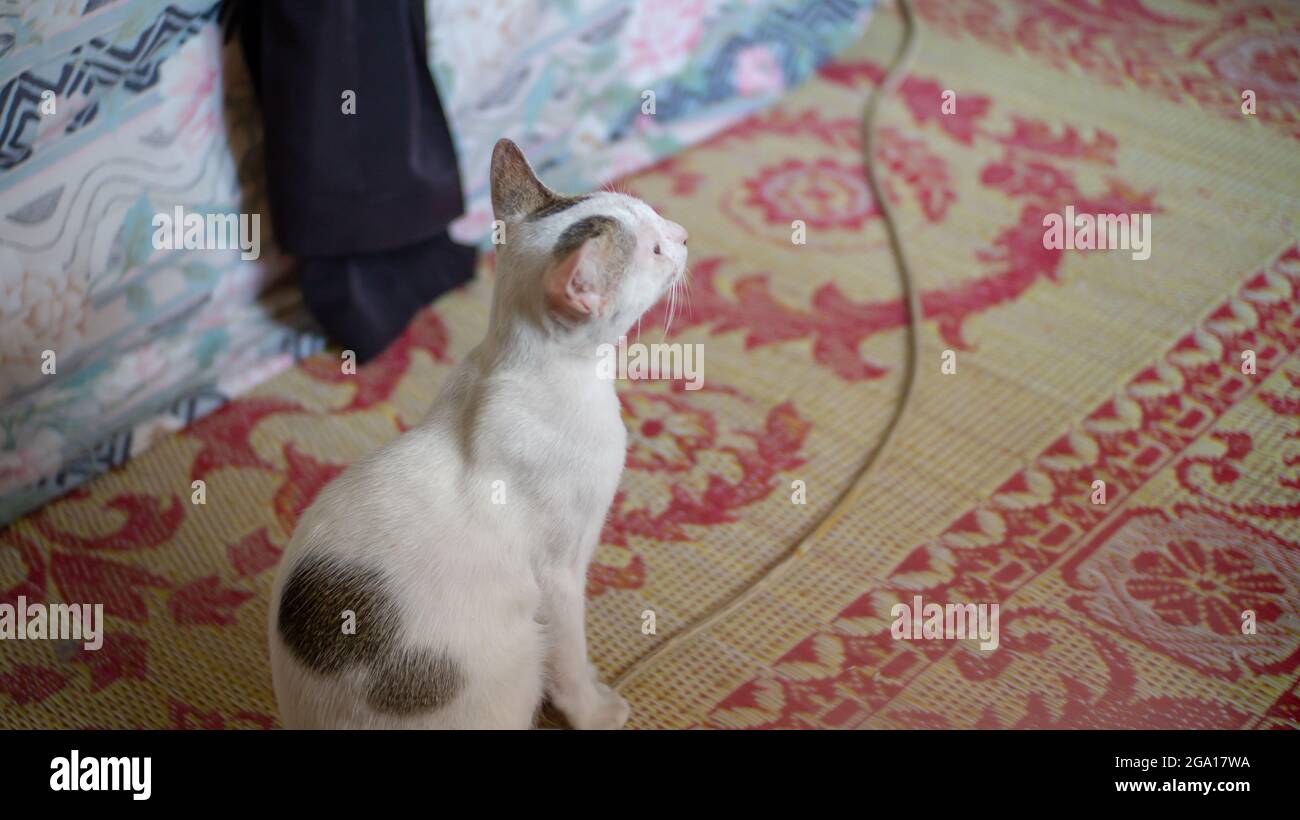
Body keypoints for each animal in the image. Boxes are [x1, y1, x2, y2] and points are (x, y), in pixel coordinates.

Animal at [266, 137, 691, 727]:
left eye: (654, 217)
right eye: (653, 250)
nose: (681, 234)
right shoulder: (559, 573)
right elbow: (569, 656)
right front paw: (593, 708)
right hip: (515, 660)